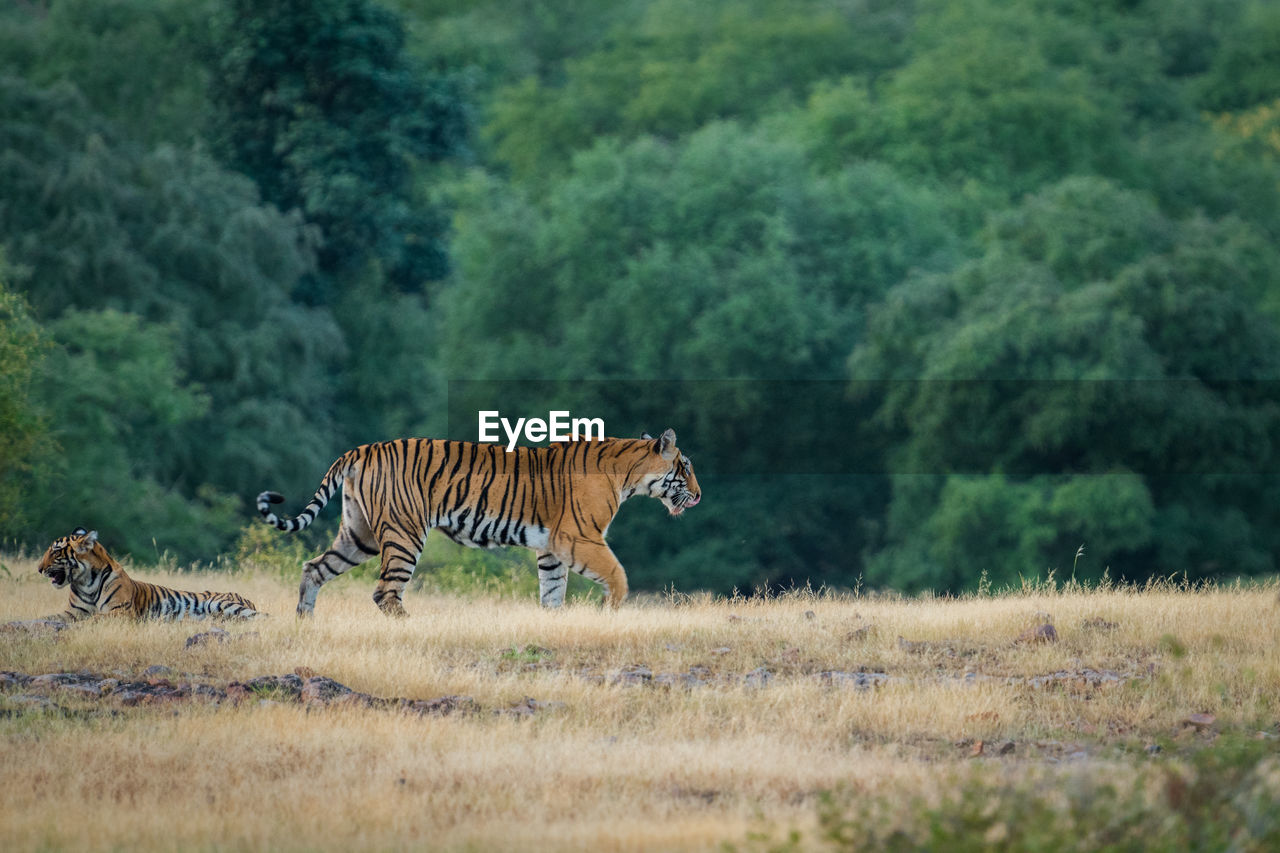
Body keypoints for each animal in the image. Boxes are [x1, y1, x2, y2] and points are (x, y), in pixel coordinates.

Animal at [36, 527, 264, 622]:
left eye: (55, 551)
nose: (38, 568)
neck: (86, 582)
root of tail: (247, 598)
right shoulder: (73, 612)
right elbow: (47, 618)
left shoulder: (121, 611)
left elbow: (93, 618)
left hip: (221, 603)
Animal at [257, 427, 701, 614]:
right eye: (686, 467)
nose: (698, 495)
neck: (629, 475)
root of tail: (362, 449)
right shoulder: (579, 537)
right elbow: (618, 574)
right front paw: (610, 611)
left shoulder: (551, 548)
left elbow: (552, 593)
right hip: (404, 533)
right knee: (386, 592)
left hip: (359, 534)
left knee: (314, 568)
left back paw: (304, 623)